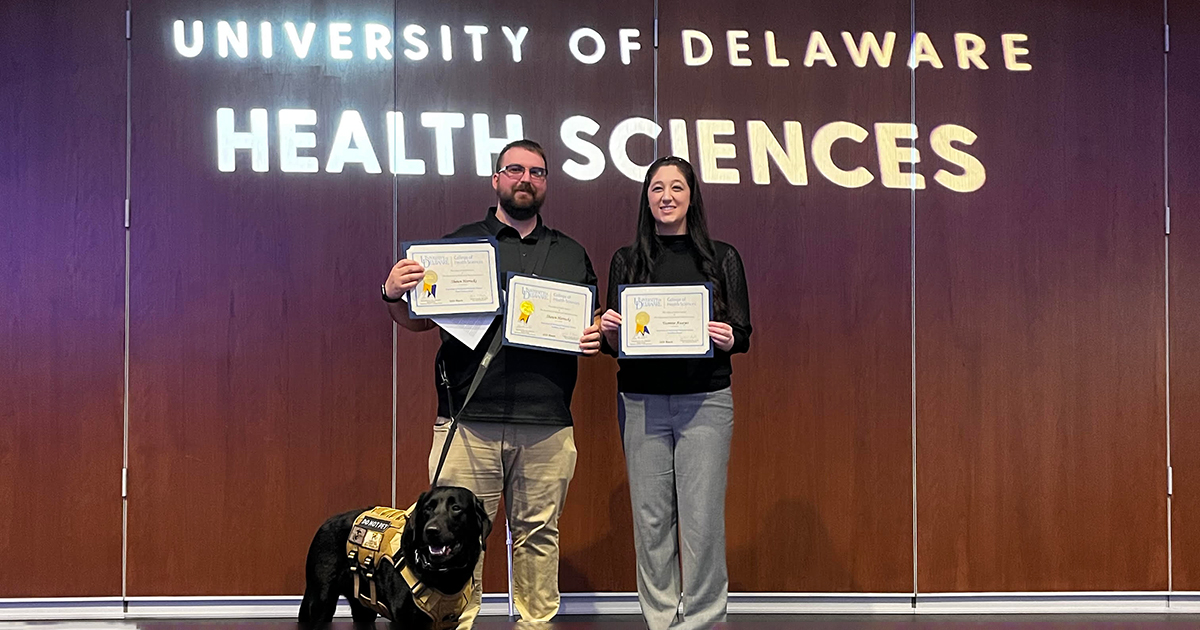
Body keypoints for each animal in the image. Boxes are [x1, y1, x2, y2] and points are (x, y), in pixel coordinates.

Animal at [300, 487, 492, 624]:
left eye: (456, 508)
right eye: (428, 508)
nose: (431, 530)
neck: (443, 576)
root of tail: (326, 522)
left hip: (363, 607)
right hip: (321, 601)